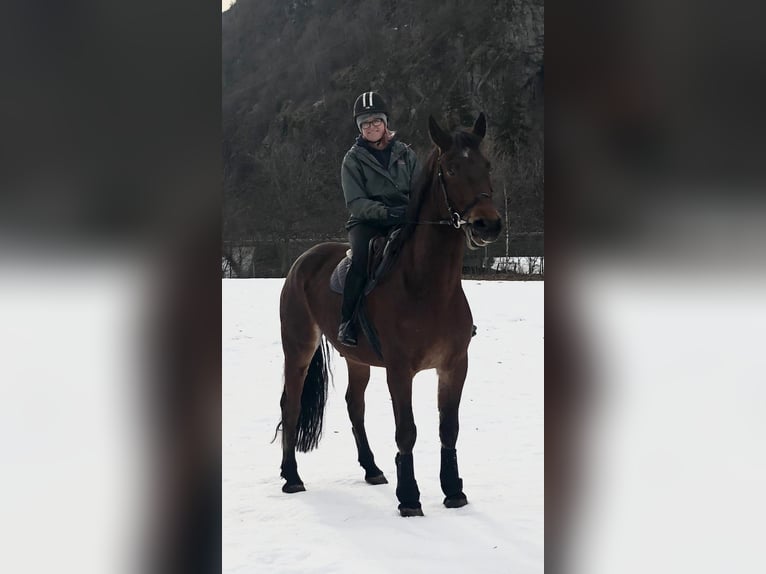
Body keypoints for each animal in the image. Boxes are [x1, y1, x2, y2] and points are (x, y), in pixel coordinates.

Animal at [277, 113, 503, 516]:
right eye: (451, 168)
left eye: (486, 165)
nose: (487, 224)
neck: (428, 286)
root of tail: (303, 261)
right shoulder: (399, 370)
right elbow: (407, 431)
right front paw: (409, 497)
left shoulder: (454, 366)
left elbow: (449, 429)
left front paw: (453, 490)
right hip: (298, 347)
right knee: (292, 403)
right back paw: (292, 476)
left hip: (357, 359)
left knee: (355, 405)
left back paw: (372, 469)